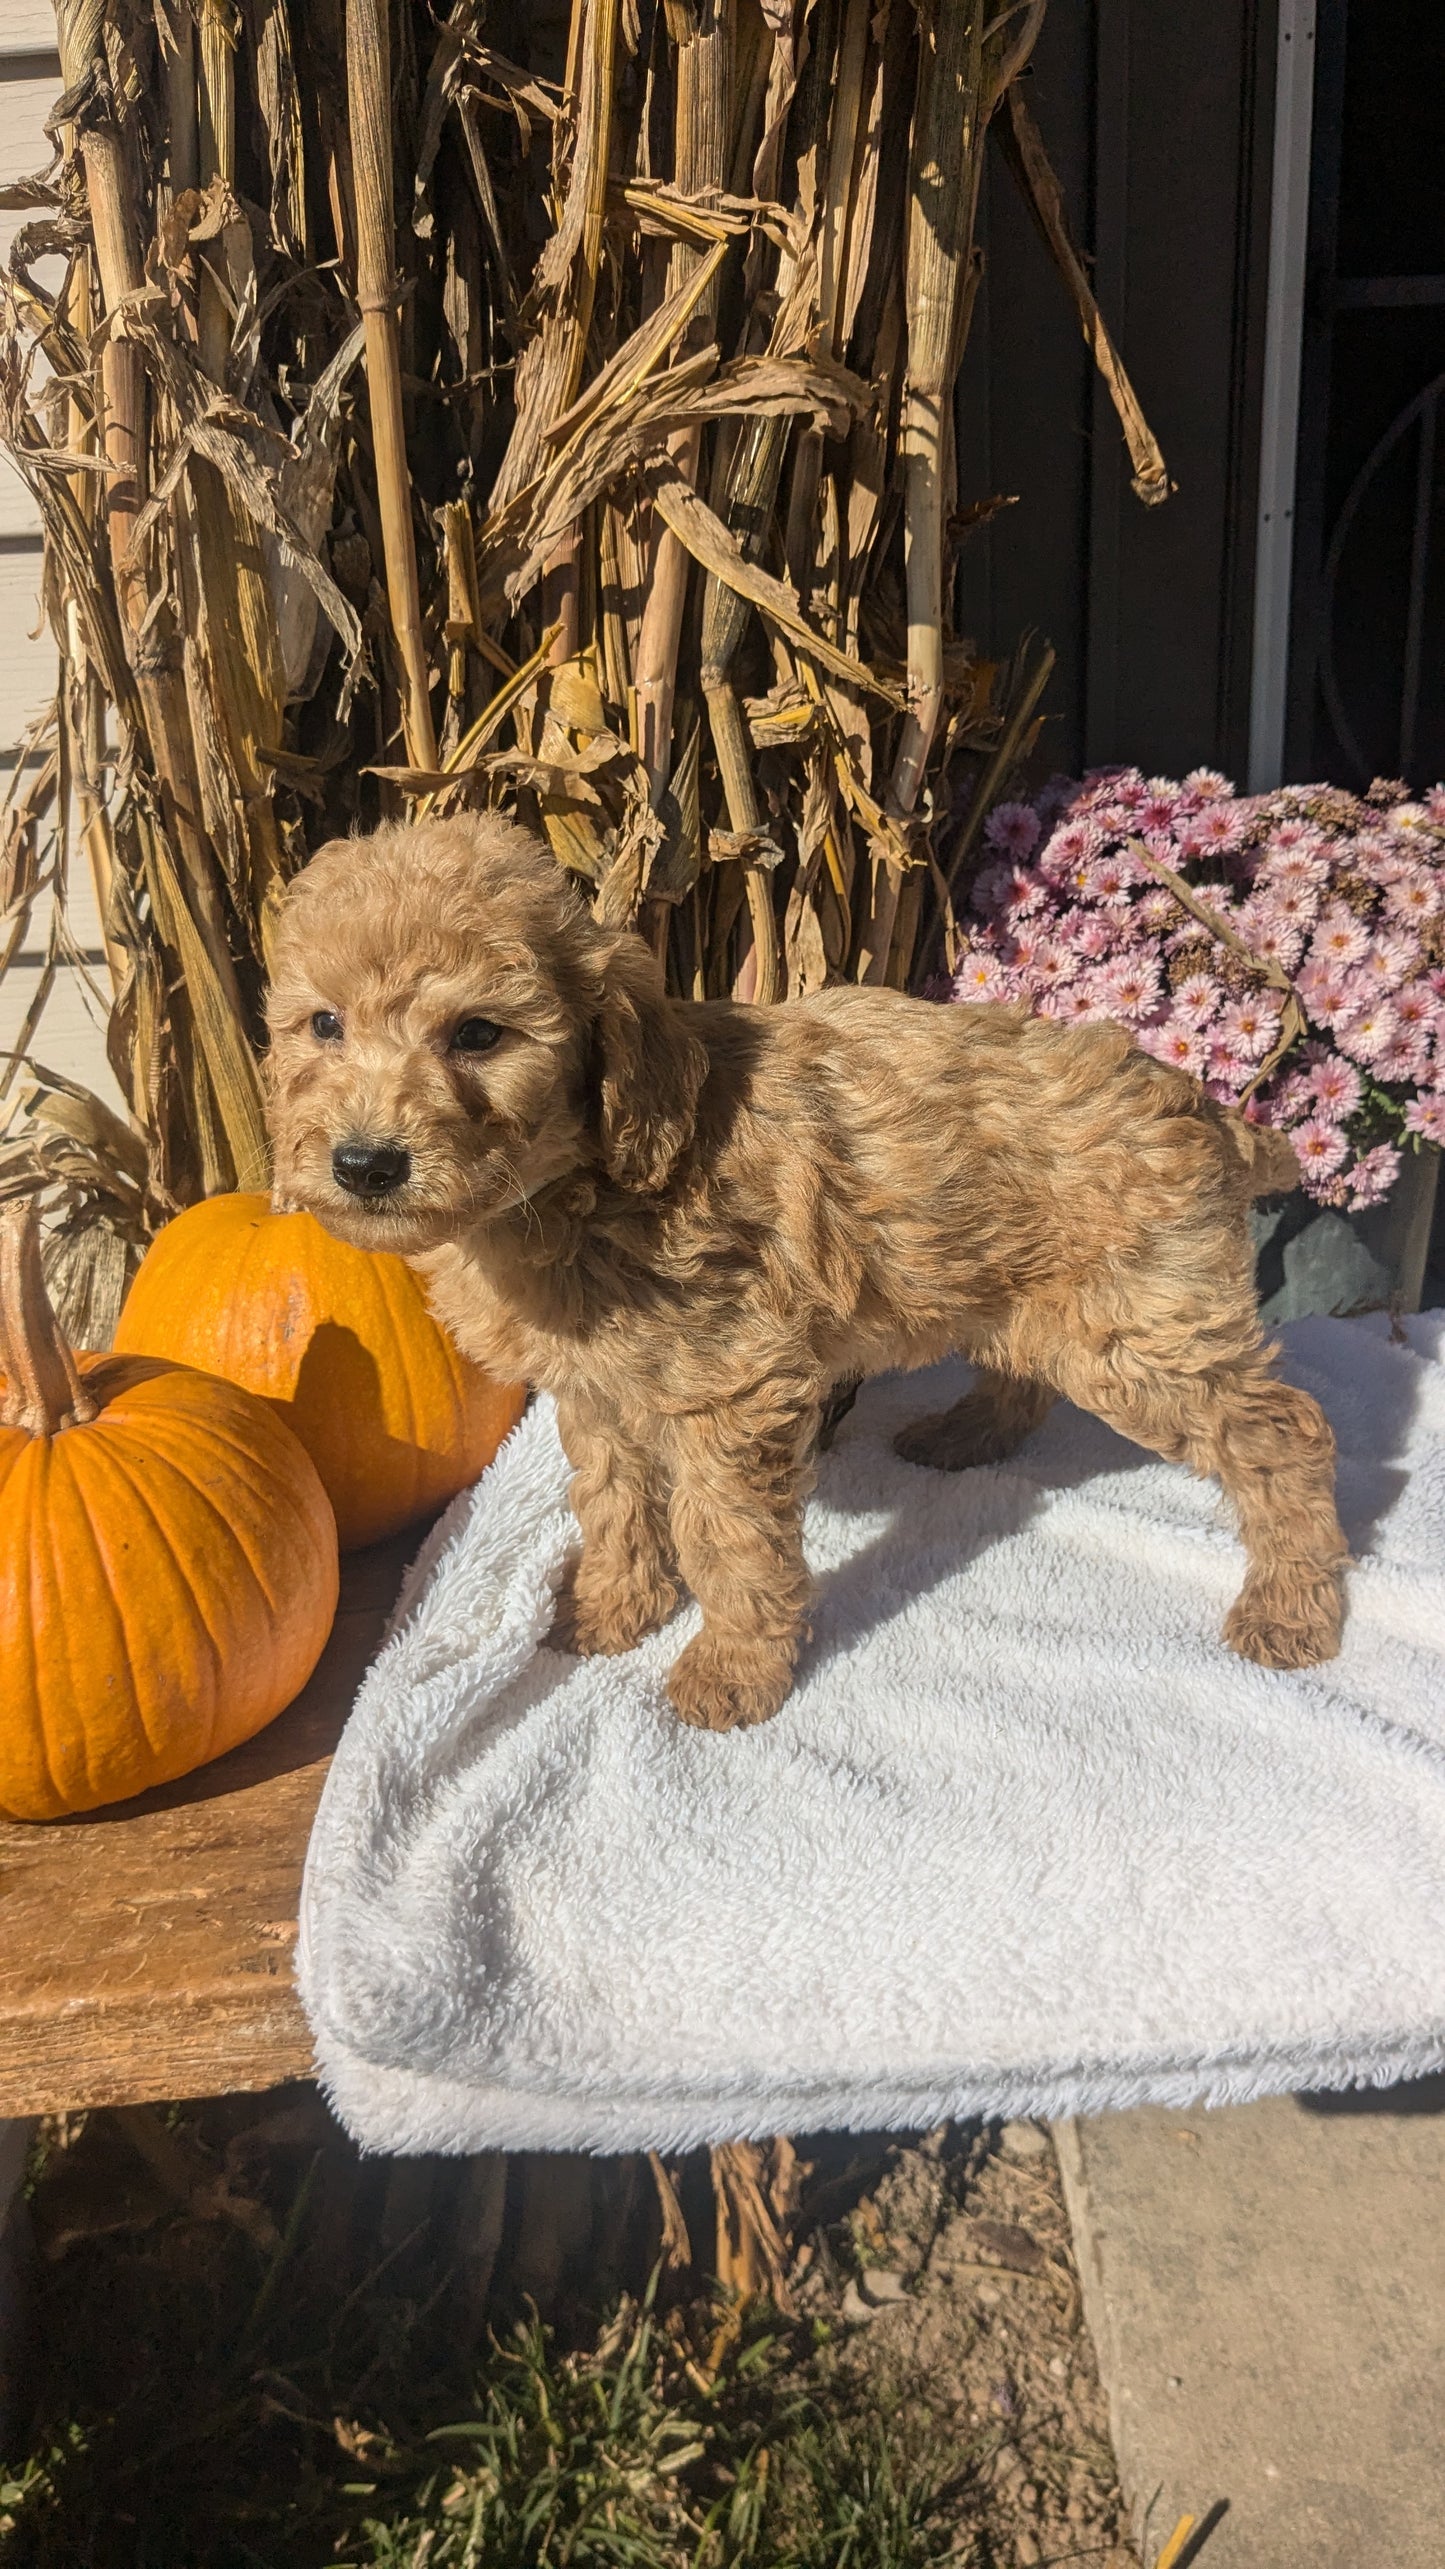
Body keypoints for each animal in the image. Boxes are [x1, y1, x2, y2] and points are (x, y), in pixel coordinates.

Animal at [264, 816, 1347, 1726]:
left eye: (478, 1033)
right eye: (324, 1025)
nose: (364, 1164)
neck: (582, 1184)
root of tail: (1203, 1106)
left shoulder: (732, 1387)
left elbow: (725, 1540)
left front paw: (729, 1673)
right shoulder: (599, 1391)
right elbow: (612, 1507)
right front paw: (611, 1611)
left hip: (1134, 1331)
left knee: (1280, 1430)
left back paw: (1294, 1607)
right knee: (1027, 1371)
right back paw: (965, 1435)